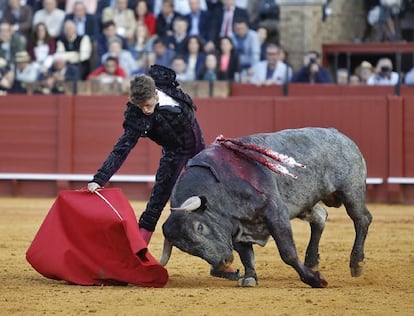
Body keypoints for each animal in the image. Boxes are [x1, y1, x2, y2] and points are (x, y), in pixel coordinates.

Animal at [158, 127, 372, 288]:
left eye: (199, 227)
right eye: (186, 249)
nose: (223, 263)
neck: (219, 186)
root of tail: (339, 135)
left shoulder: (276, 213)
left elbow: (287, 252)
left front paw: (315, 280)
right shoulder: (237, 227)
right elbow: (246, 254)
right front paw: (250, 277)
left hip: (351, 190)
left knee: (362, 219)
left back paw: (356, 263)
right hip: (306, 202)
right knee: (320, 216)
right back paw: (312, 261)